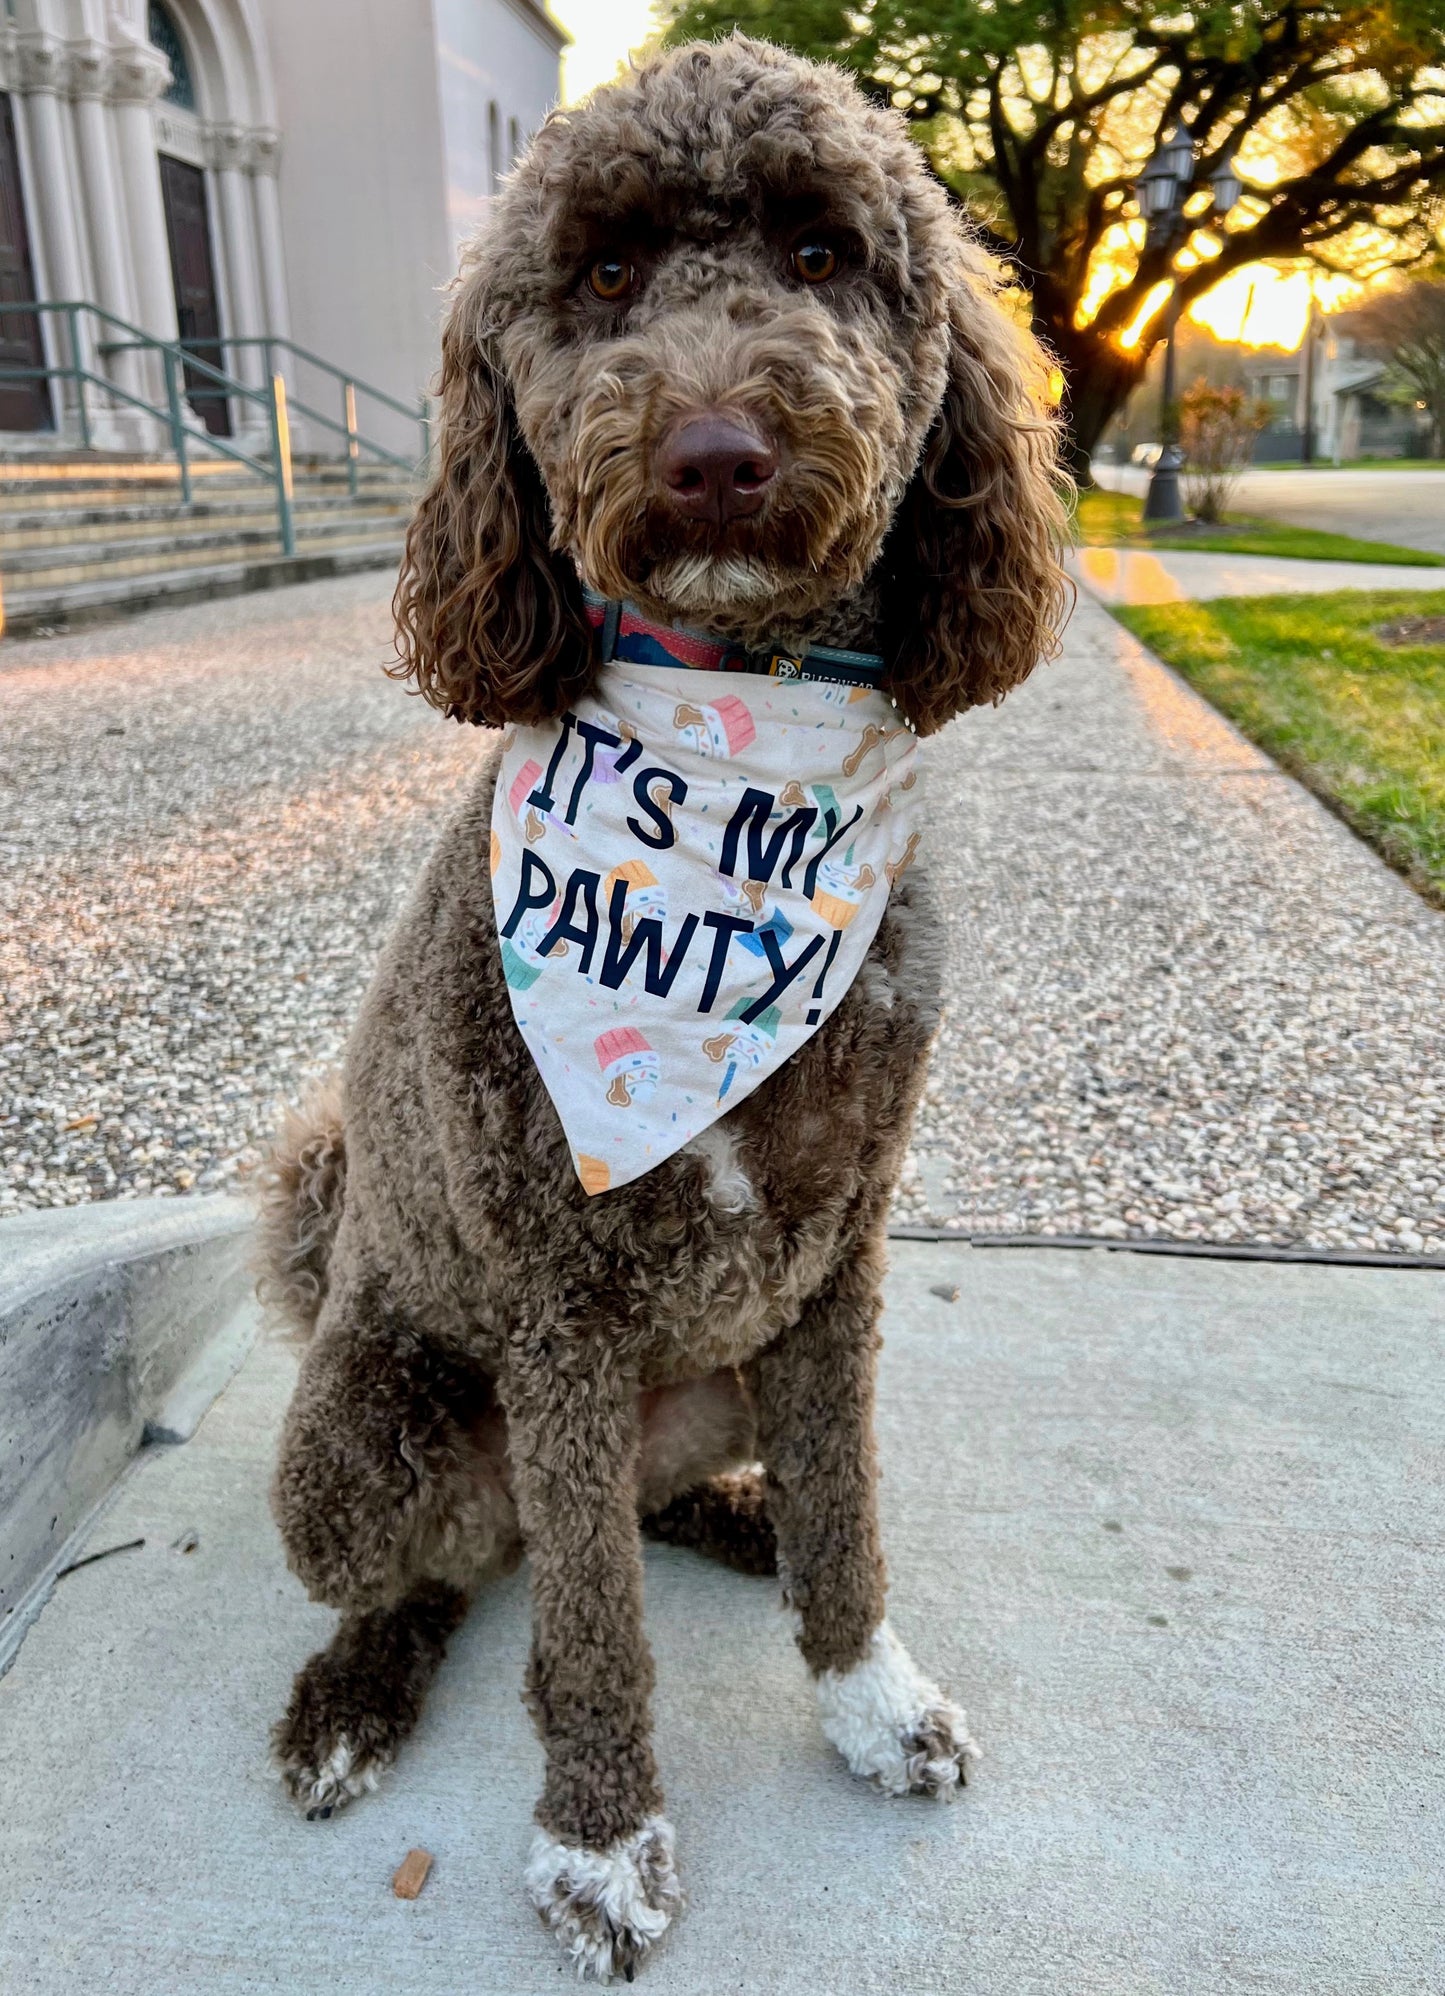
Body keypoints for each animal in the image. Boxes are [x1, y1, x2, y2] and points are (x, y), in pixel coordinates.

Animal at [259, 31, 1069, 1980]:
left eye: (823, 255)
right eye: (608, 274)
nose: (716, 454)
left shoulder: (838, 1253)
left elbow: (853, 1515)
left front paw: (866, 1691)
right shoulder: (559, 1303)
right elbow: (593, 1639)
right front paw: (600, 1842)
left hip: (709, 1371)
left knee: (626, 1516)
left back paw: (733, 1516)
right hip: (357, 1443)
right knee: (462, 1577)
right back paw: (353, 1697)